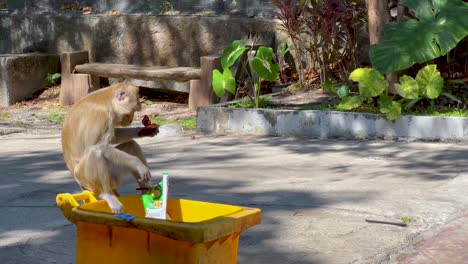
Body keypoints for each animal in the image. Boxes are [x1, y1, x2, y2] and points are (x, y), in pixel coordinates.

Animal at [61, 82, 159, 214]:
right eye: (132, 111)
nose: (131, 120)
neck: (106, 99)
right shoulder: (101, 117)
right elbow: (97, 146)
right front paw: (137, 163)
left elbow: (113, 137)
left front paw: (144, 131)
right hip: (85, 178)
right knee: (94, 152)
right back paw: (108, 195)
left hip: (114, 175)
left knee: (131, 145)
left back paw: (146, 192)